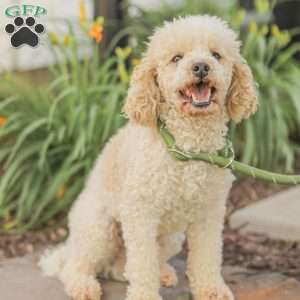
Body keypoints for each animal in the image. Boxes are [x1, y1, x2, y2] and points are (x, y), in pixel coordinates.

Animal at [39, 15, 256, 300]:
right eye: (177, 58)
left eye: (216, 55)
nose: (200, 67)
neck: (187, 146)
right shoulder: (140, 213)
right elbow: (142, 264)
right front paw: (144, 294)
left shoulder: (209, 213)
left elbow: (207, 257)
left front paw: (211, 289)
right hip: (99, 229)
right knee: (78, 265)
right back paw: (82, 285)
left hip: (172, 237)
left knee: (121, 267)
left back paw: (160, 273)